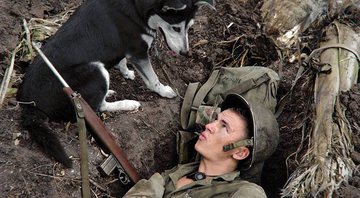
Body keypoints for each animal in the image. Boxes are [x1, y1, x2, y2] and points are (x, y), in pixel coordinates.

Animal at [17, 0, 214, 167]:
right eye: (175, 27)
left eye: (190, 26)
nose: (185, 53)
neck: (137, 8)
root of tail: (29, 104)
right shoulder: (138, 51)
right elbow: (153, 79)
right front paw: (164, 91)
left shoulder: (126, 49)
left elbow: (122, 60)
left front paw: (126, 72)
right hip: (96, 70)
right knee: (98, 108)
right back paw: (128, 104)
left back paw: (111, 93)